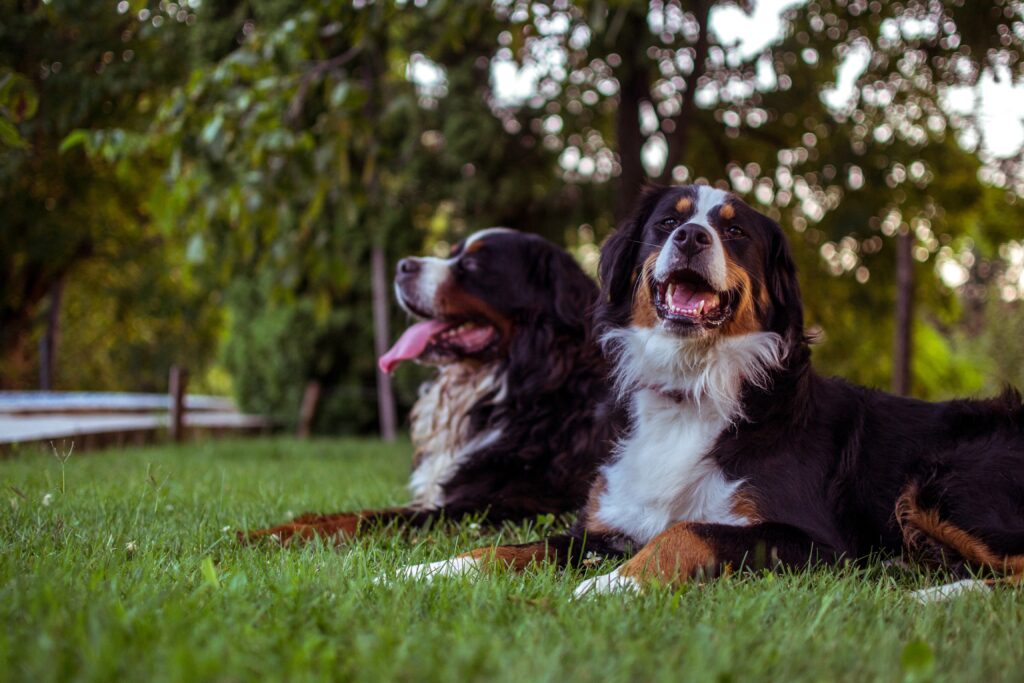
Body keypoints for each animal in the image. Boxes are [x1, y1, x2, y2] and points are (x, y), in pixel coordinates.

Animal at [241, 229, 606, 544]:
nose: (403, 266)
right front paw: (263, 530)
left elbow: (365, 520)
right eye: (453, 252)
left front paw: (268, 539)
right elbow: (343, 513)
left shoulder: (504, 507)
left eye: (472, 265)